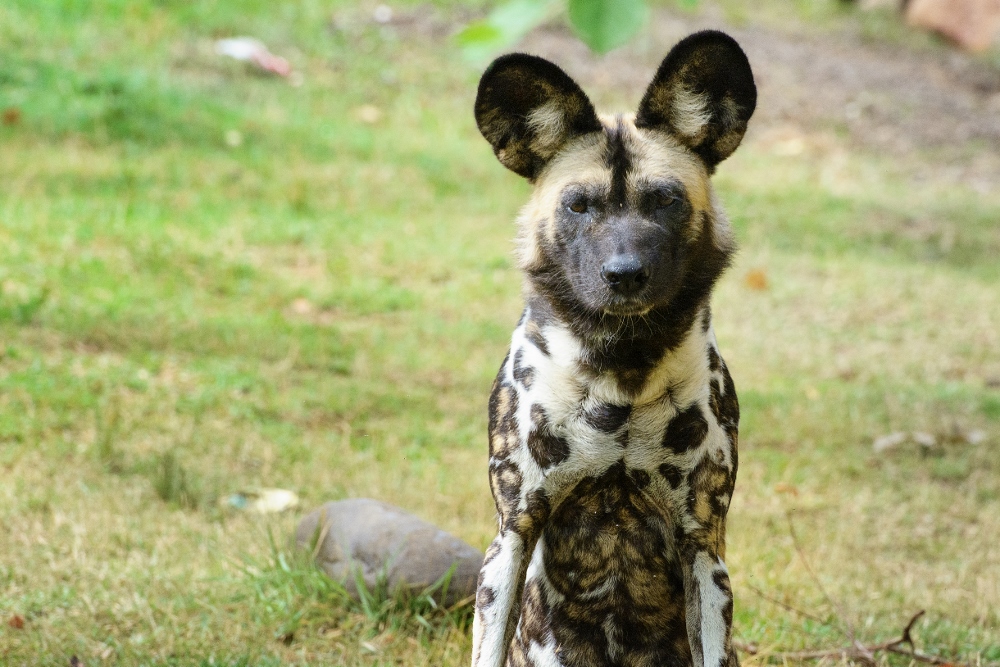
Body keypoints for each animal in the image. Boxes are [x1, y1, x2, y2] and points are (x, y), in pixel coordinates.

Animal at [472, 31, 752, 667]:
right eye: (579, 205)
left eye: (666, 200)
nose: (625, 274)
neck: (622, 370)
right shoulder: (513, 533)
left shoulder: (703, 548)